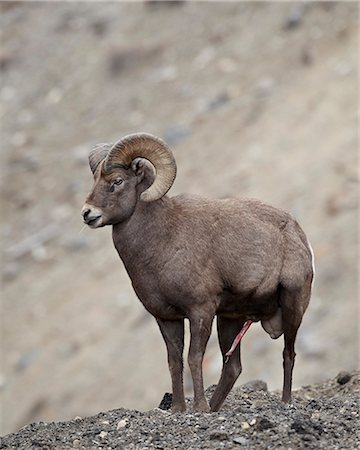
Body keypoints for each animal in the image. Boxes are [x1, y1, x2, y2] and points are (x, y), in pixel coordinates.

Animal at [81, 131, 312, 412]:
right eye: (95, 180)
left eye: (117, 181)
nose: (88, 214)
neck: (163, 240)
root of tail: (297, 233)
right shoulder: (167, 318)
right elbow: (174, 361)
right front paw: (179, 409)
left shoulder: (200, 311)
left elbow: (194, 357)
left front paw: (198, 408)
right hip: (230, 319)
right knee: (233, 368)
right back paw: (214, 408)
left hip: (292, 307)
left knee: (288, 354)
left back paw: (284, 401)